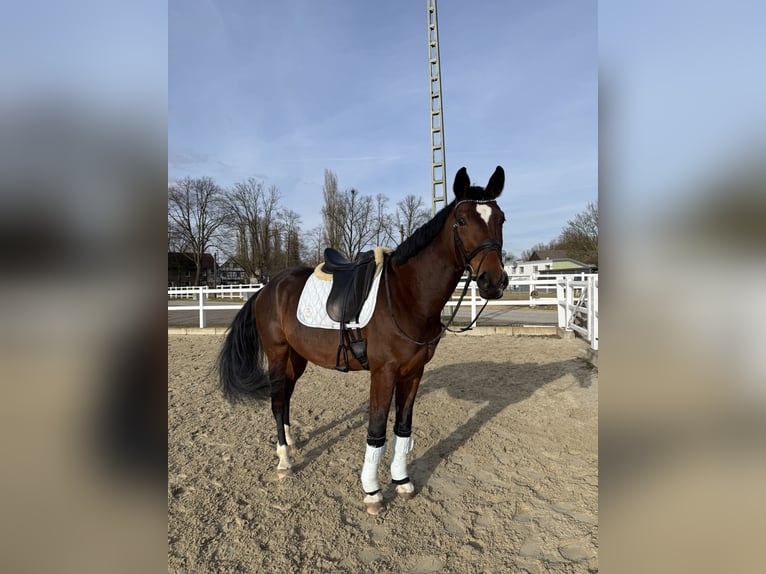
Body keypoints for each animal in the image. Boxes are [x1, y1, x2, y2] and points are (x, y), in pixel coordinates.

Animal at [218, 166, 508, 514]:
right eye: (462, 221)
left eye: (501, 219)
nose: (494, 281)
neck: (406, 296)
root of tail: (266, 288)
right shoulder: (384, 373)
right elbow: (377, 431)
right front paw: (372, 491)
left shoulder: (413, 373)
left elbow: (403, 428)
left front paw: (402, 481)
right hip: (277, 353)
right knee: (276, 401)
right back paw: (284, 460)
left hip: (296, 358)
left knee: (285, 396)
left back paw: (289, 443)